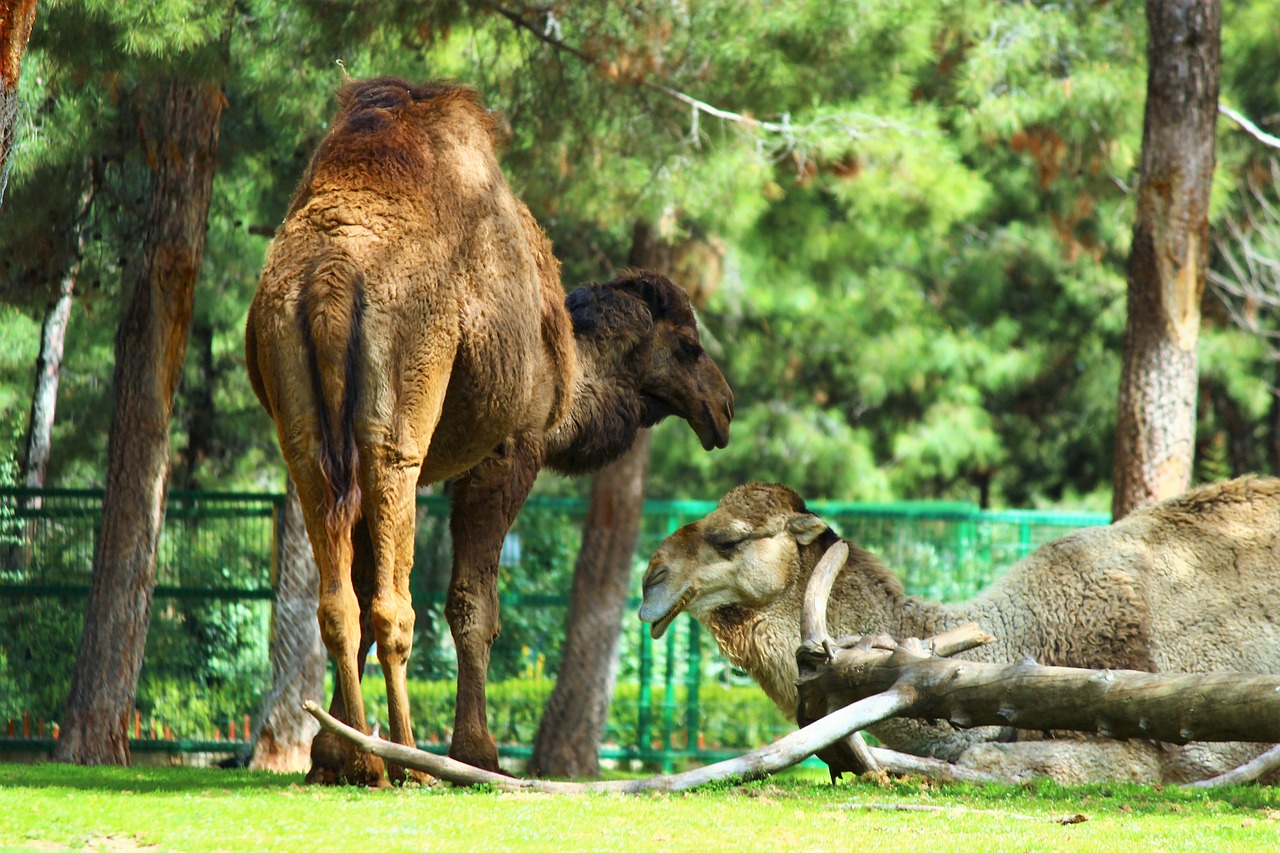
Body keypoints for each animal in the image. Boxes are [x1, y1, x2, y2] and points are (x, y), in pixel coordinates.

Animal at [244, 76, 737, 778]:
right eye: (690, 347)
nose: (722, 408)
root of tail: (332, 278)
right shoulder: (509, 451)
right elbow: (473, 606)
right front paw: (479, 753)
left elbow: (367, 594)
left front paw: (333, 754)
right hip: (397, 425)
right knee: (394, 601)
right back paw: (407, 759)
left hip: (307, 429)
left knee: (339, 600)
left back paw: (366, 759)